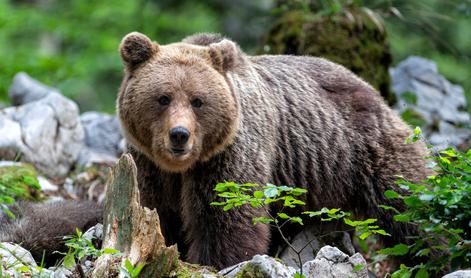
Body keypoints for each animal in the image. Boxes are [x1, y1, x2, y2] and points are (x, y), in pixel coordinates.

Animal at [117, 31, 432, 268]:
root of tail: (372, 90)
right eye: (163, 98)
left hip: (366, 149)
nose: (179, 135)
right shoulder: (149, 166)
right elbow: (159, 213)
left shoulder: (227, 157)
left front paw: (217, 262)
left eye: (198, 101)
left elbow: (227, 216)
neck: (182, 167)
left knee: (412, 210)